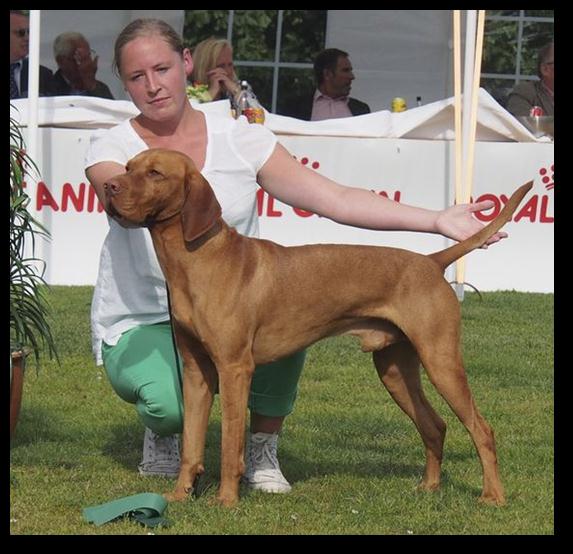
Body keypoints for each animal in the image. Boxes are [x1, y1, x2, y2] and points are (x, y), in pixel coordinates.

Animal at [104, 147, 532, 504]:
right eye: (126, 167)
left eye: (155, 173)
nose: (108, 185)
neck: (197, 260)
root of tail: (432, 261)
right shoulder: (196, 372)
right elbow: (191, 445)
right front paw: (178, 497)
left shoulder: (234, 368)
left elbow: (229, 446)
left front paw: (225, 501)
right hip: (394, 368)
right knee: (435, 425)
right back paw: (429, 487)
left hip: (441, 359)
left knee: (481, 429)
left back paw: (493, 497)